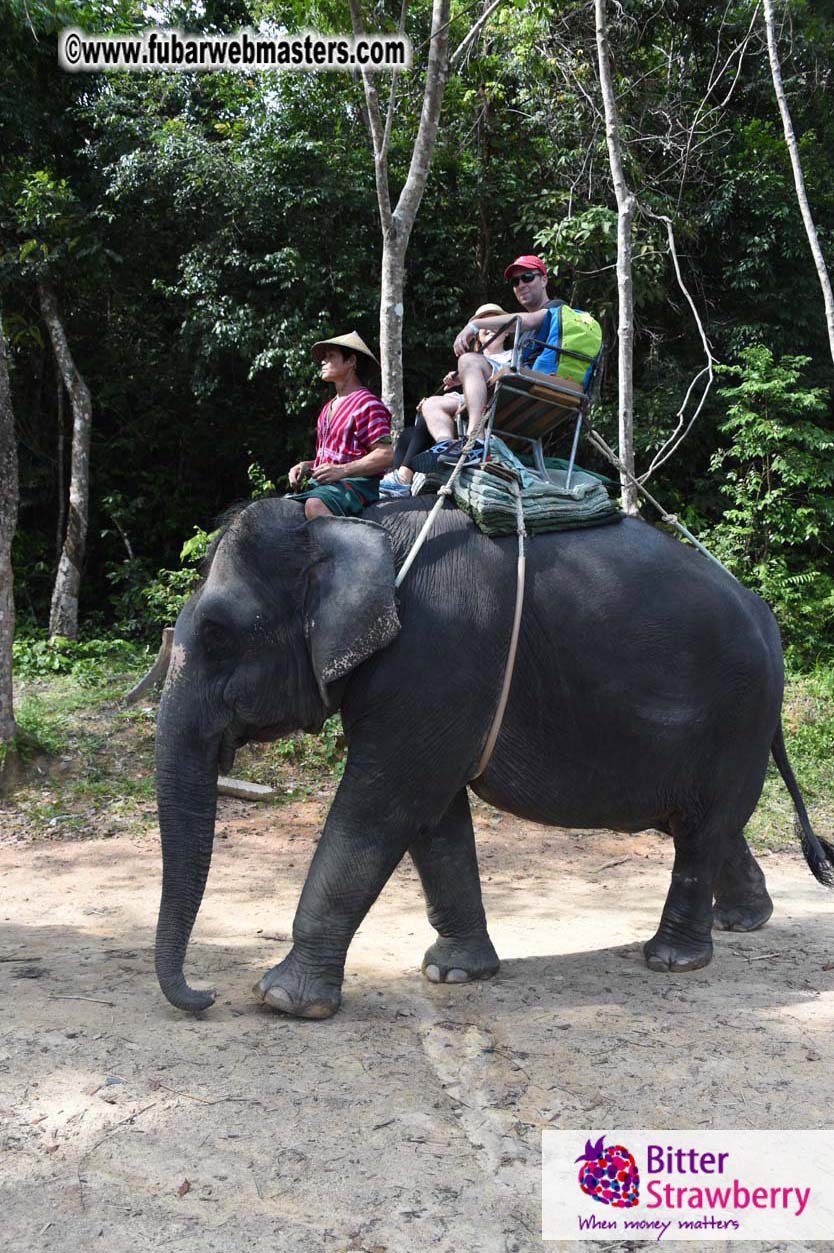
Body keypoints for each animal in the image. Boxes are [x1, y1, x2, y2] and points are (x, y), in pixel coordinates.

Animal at [154, 495, 833, 1016]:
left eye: (217, 634)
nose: (205, 996)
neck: (354, 530)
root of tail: (764, 616)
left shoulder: (438, 659)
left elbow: (383, 803)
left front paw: (283, 1001)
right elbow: (433, 818)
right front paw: (453, 974)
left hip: (736, 714)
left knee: (703, 829)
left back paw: (673, 959)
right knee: (706, 824)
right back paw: (743, 920)